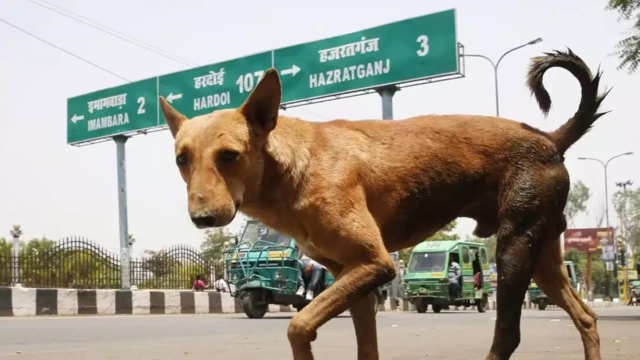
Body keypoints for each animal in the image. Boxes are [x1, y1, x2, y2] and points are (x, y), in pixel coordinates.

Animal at [158, 48, 608, 360]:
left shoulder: (375, 264)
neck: (294, 169)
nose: (202, 218)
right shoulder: (352, 276)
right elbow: (365, 347)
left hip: (514, 250)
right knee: (585, 317)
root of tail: (549, 138)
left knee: (509, 336)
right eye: (181, 159)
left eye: (229, 155)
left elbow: (298, 325)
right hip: (541, 255)